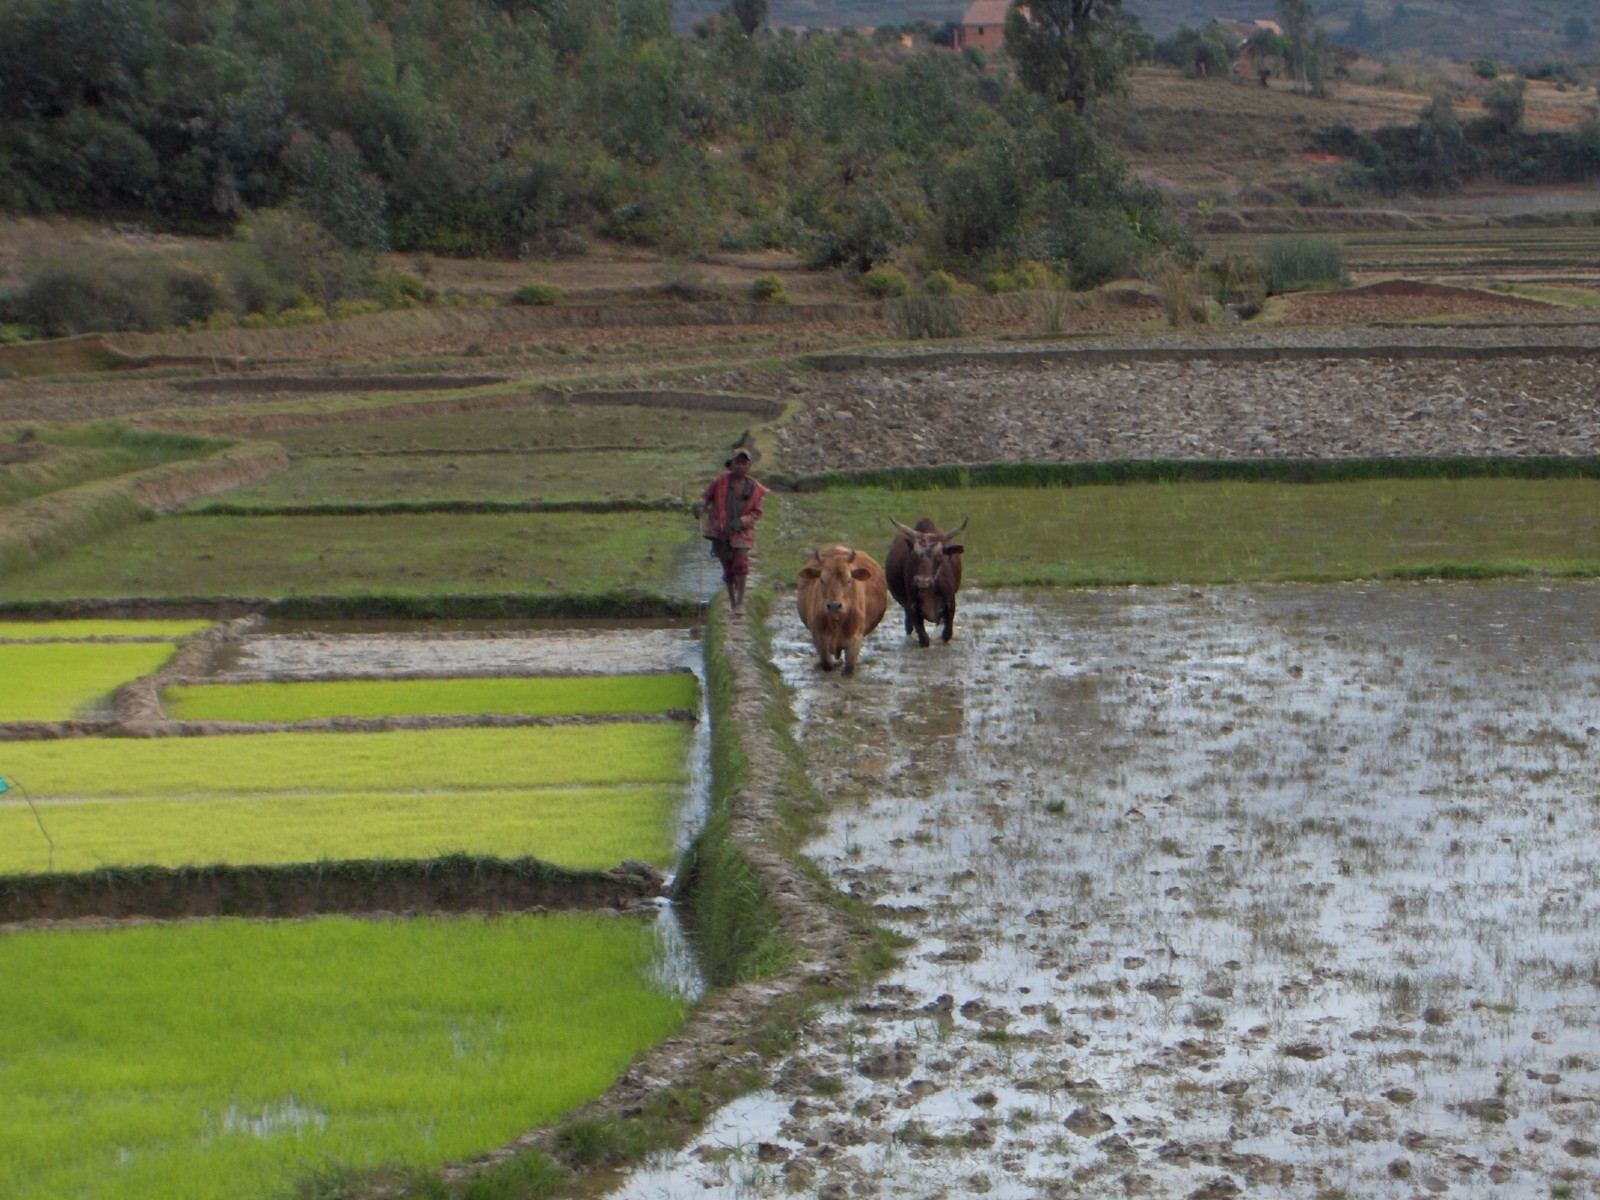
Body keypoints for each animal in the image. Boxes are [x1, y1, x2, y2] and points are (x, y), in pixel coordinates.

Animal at [796, 547, 896, 678]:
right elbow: (827, 665)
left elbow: (849, 669)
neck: (837, 622)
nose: (834, 606)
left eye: (849, 580)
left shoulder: (855, 640)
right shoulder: (819, 638)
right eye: (822, 580)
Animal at [889, 518, 960, 649]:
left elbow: (946, 635)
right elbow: (924, 640)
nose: (922, 581)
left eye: (939, 557)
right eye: (914, 555)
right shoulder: (913, 610)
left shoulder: (950, 608)